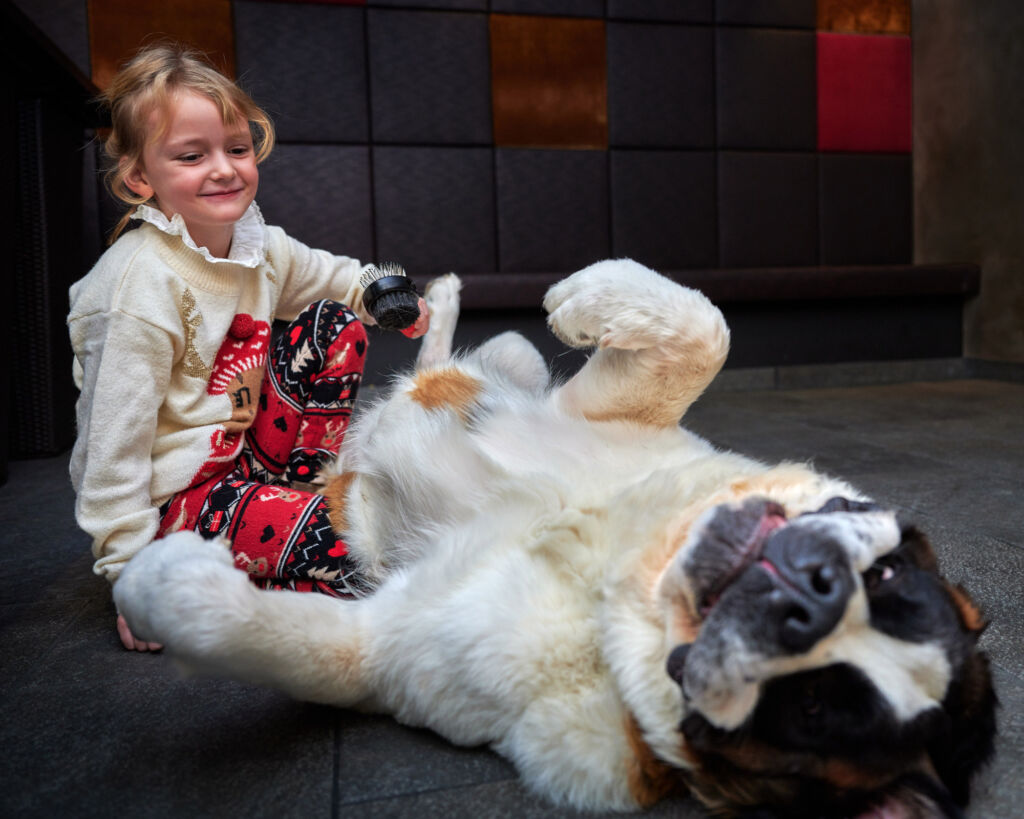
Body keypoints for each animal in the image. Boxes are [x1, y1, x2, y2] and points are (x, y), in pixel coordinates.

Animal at [116, 259, 995, 814]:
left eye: (817, 707)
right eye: (887, 577)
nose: (813, 595)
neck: (622, 561)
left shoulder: (394, 647)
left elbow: (259, 632)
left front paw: (162, 578)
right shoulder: (602, 405)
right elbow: (704, 330)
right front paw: (583, 296)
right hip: (515, 365)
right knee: (454, 361)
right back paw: (431, 309)